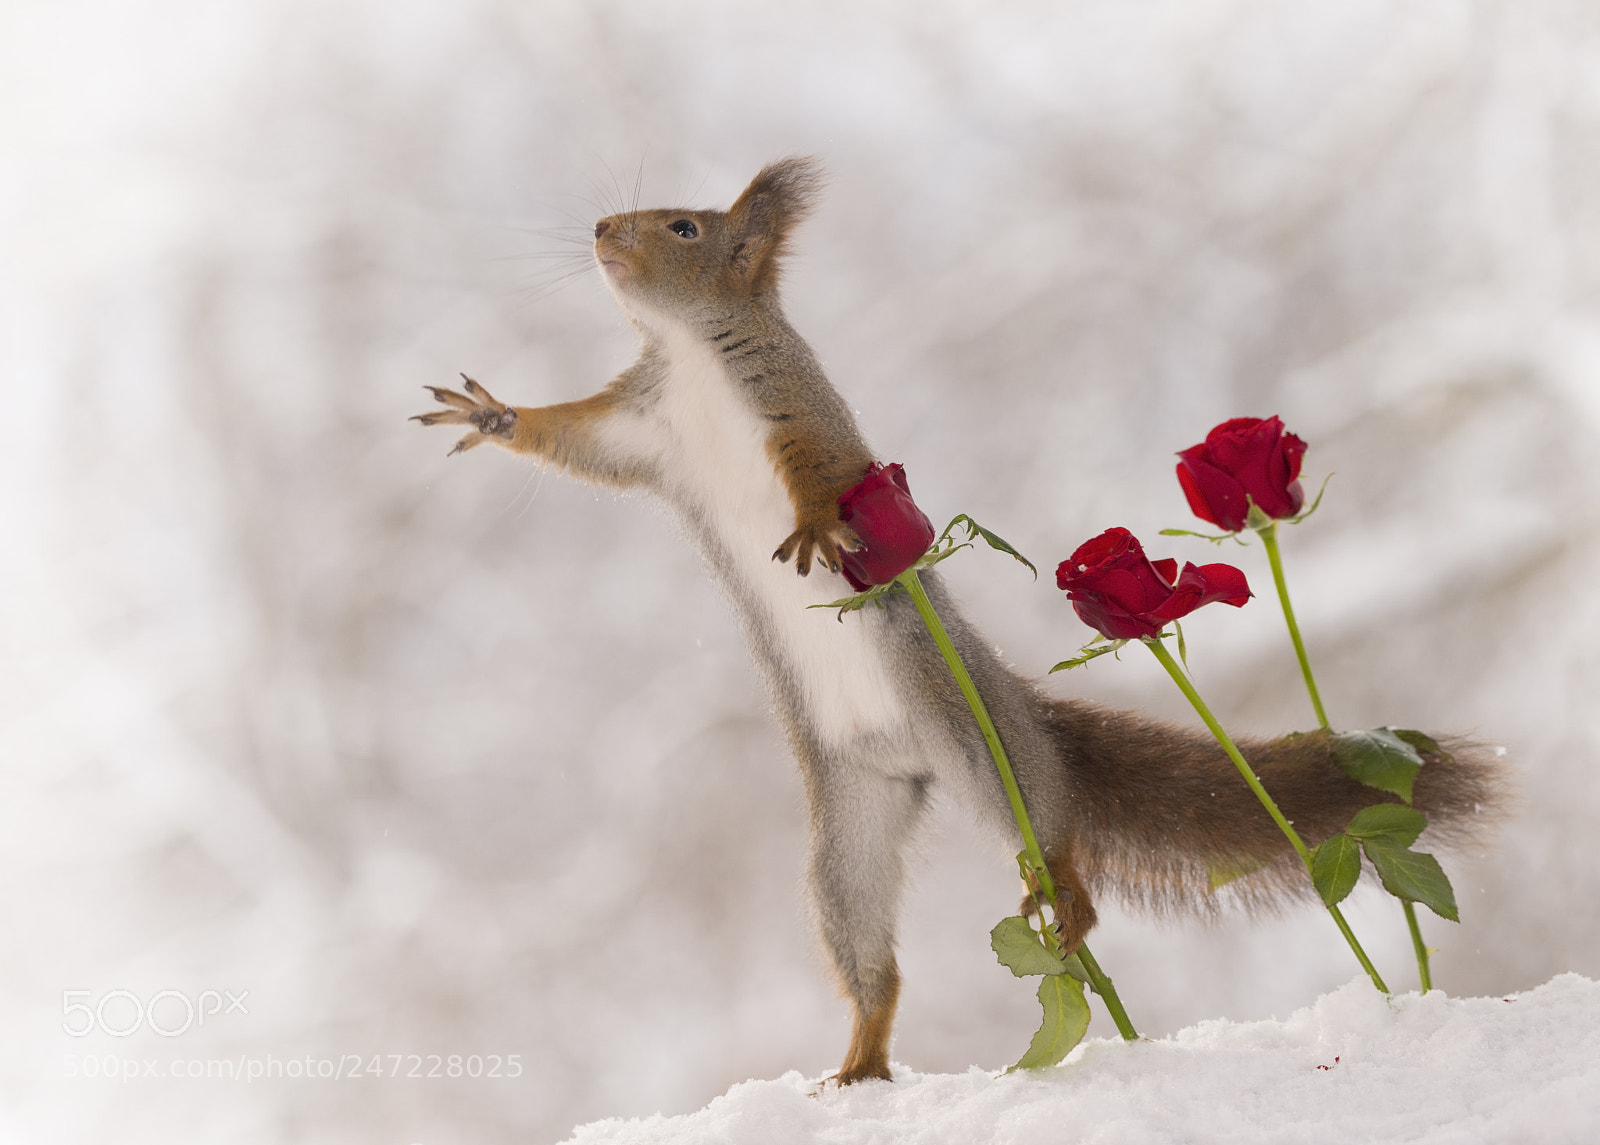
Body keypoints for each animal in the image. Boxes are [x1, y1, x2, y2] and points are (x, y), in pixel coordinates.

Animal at [414, 158, 1506, 1085]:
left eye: (683, 226)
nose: (602, 229)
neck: (689, 356)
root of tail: (912, 753)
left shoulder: (795, 401)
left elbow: (823, 468)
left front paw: (817, 523)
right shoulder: (641, 429)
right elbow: (571, 440)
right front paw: (491, 414)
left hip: (979, 739)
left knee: (1050, 824)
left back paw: (1066, 898)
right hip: (847, 834)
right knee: (872, 957)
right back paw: (860, 1059)